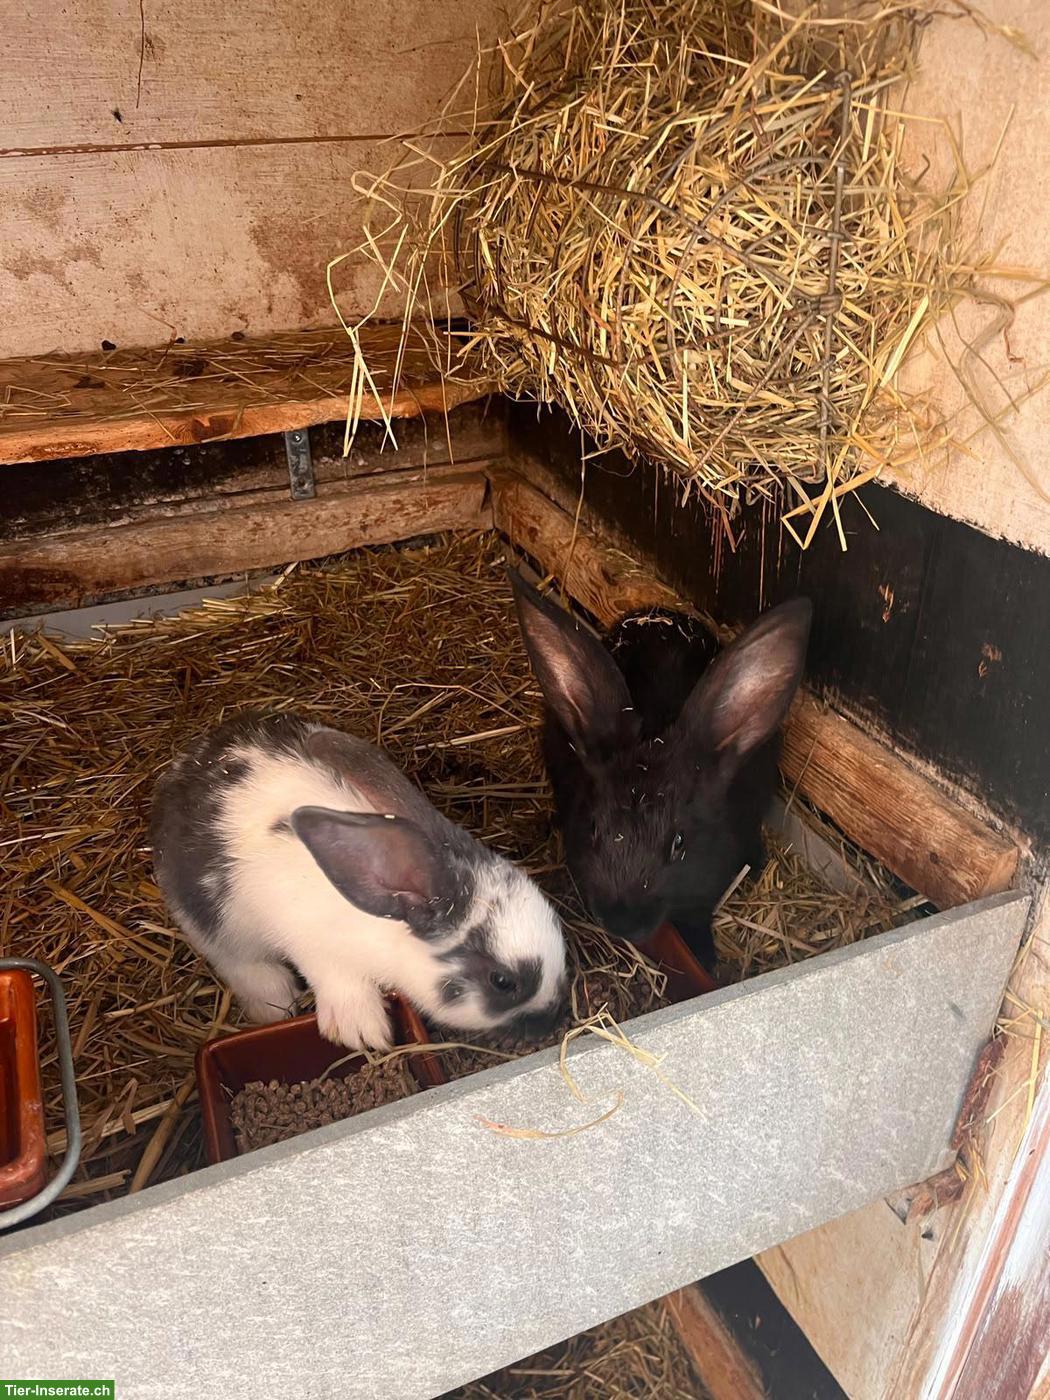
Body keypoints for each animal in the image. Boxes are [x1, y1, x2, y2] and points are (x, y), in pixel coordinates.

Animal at [150, 712, 568, 1050]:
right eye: (503, 981)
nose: (554, 1017)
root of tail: (182, 768)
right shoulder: (315, 948)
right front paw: (364, 1032)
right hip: (215, 926)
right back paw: (276, 1005)